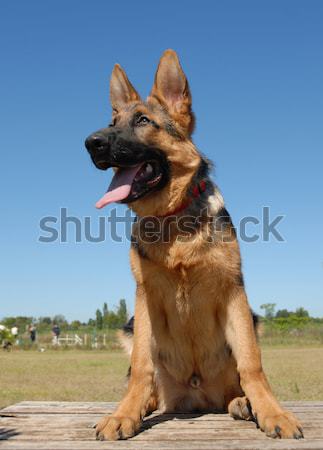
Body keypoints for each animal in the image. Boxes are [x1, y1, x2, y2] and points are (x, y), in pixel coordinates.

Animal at [85, 51, 304, 442]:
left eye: (144, 121)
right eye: (112, 121)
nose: (91, 142)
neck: (174, 222)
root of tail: (197, 396)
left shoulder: (234, 293)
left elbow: (252, 364)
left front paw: (272, 411)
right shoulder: (145, 298)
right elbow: (140, 367)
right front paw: (124, 414)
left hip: (252, 320)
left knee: (237, 381)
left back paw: (243, 403)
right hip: (129, 328)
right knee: (148, 381)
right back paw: (143, 406)